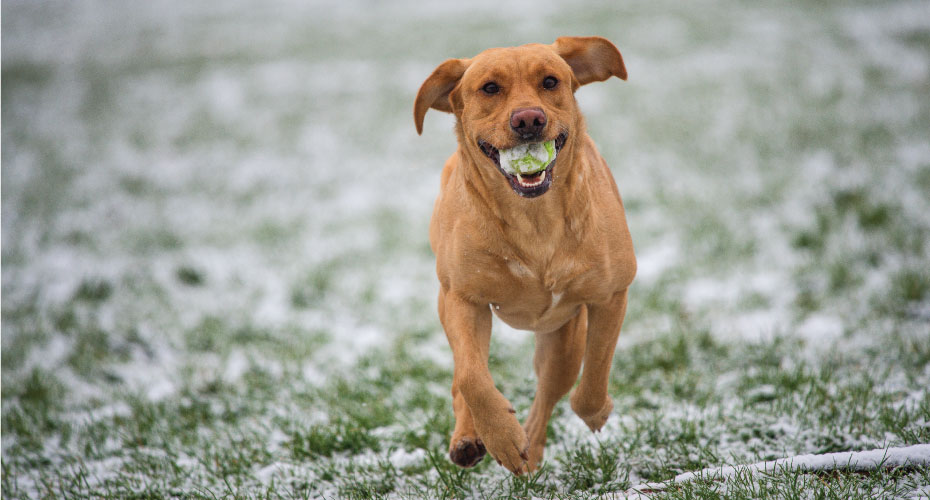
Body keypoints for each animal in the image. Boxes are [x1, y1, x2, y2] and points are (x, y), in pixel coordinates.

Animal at [416, 37, 640, 474]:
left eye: (550, 81)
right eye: (489, 88)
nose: (528, 120)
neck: (533, 220)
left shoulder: (610, 296)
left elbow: (593, 376)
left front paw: (596, 411)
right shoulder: (462, 298)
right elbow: (472, 378)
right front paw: (501, 437)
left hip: (564, 337)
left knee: (551, 390)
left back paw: (530, 447)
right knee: (463, 375)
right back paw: (470, 440)